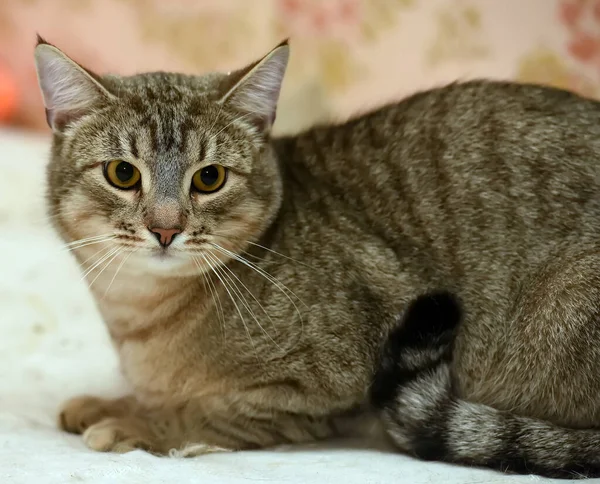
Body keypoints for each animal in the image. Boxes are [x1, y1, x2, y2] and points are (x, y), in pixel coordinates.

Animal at [34, 36, 600, 478]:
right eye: (122, 174)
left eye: (209, 178)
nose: (165, 229)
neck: (143, 318)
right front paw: (112, 401)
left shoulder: (325, 387)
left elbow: (207, 412)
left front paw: (136, 420)